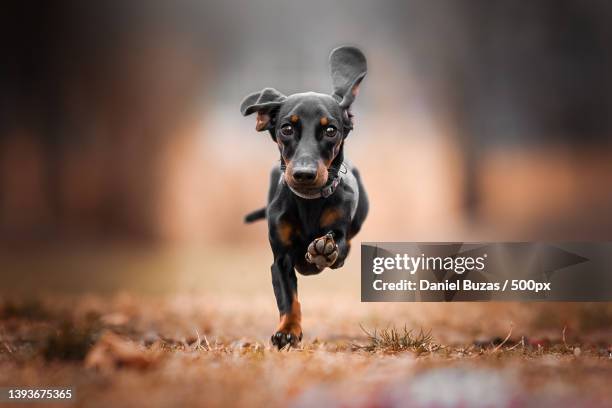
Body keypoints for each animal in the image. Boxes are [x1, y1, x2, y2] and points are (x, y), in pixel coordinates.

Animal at [241, 46, 368, 350]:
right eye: (286, 128)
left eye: (331, 129)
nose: (304, 174)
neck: (309, 201)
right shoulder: (281, 259)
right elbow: (289, 300)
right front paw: (287, 332)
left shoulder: (340, 235)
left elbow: (337, 246)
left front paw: (323, 250)